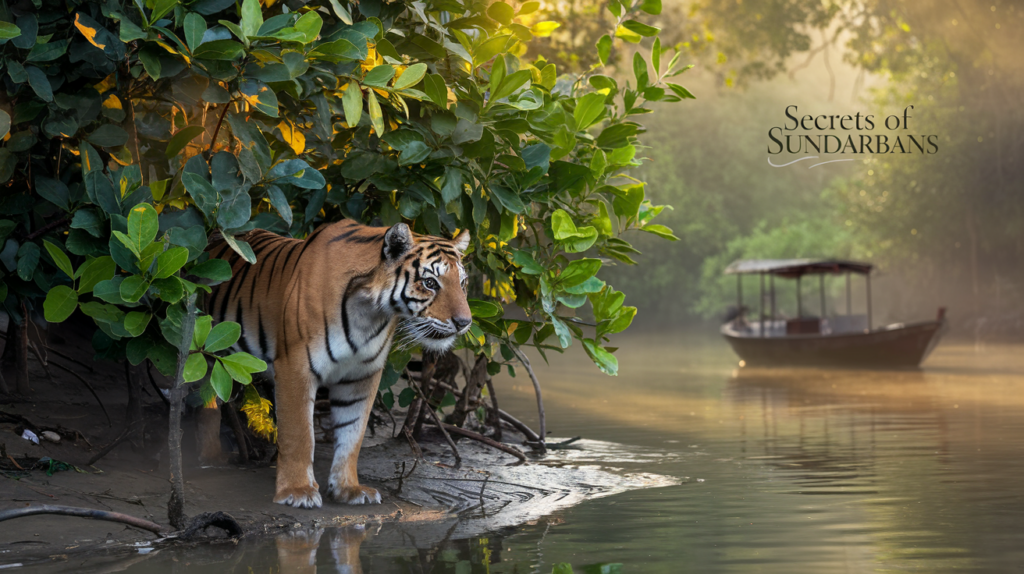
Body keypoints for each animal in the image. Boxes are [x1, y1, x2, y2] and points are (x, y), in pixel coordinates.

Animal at [204, 220, 472, 508]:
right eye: (430, 283)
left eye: (463, 283)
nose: (464, 322)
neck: (369, 312)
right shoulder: (295, 367)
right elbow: (299, 434)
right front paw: (297, 491)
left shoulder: (361, 375)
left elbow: (353, 433)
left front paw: (348, 489)